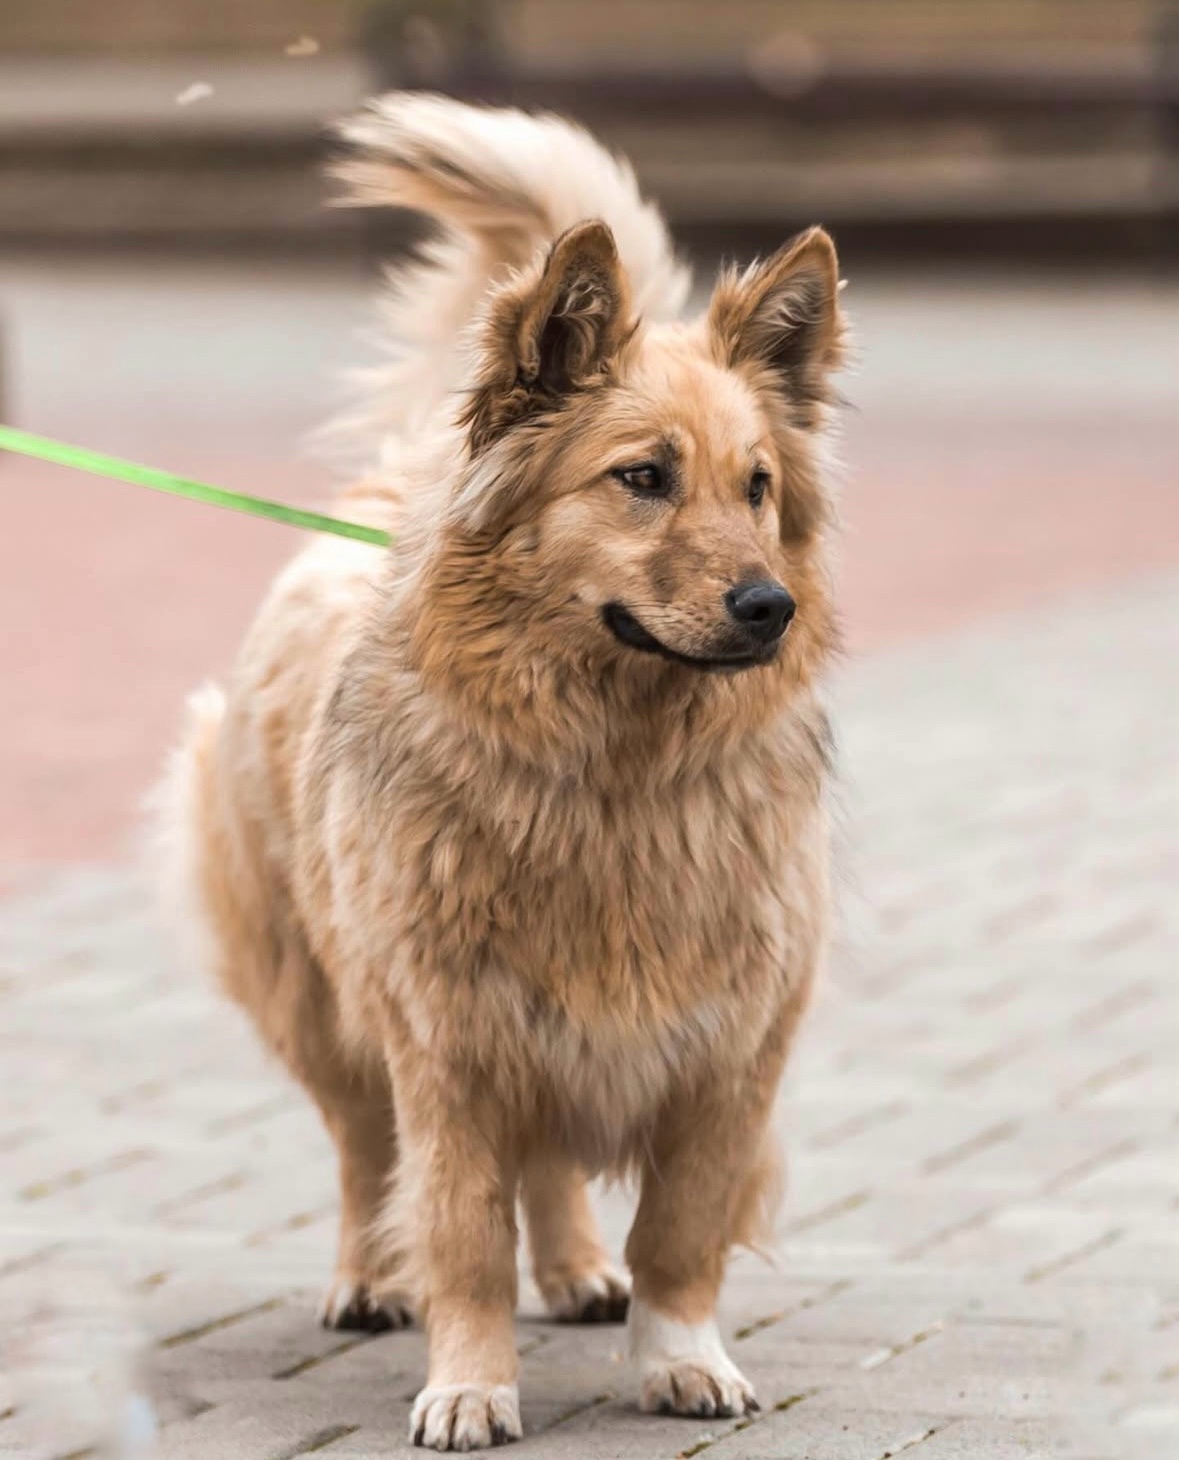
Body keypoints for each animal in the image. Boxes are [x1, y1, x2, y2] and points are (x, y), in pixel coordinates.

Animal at [157, 93, 845, 1450]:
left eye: (757, 486)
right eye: (644, 477)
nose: (770, 608)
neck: (617, 768)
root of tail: (394, 474)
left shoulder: (728, 1046)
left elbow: (682, 1227)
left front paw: (679, 1353)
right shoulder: (451, 1042)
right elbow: (462, 1227)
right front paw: (468, 1379)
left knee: (554, 1166)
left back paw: (580, 1268)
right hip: (321, 995)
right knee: (362, 1148)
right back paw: (370, 1276)